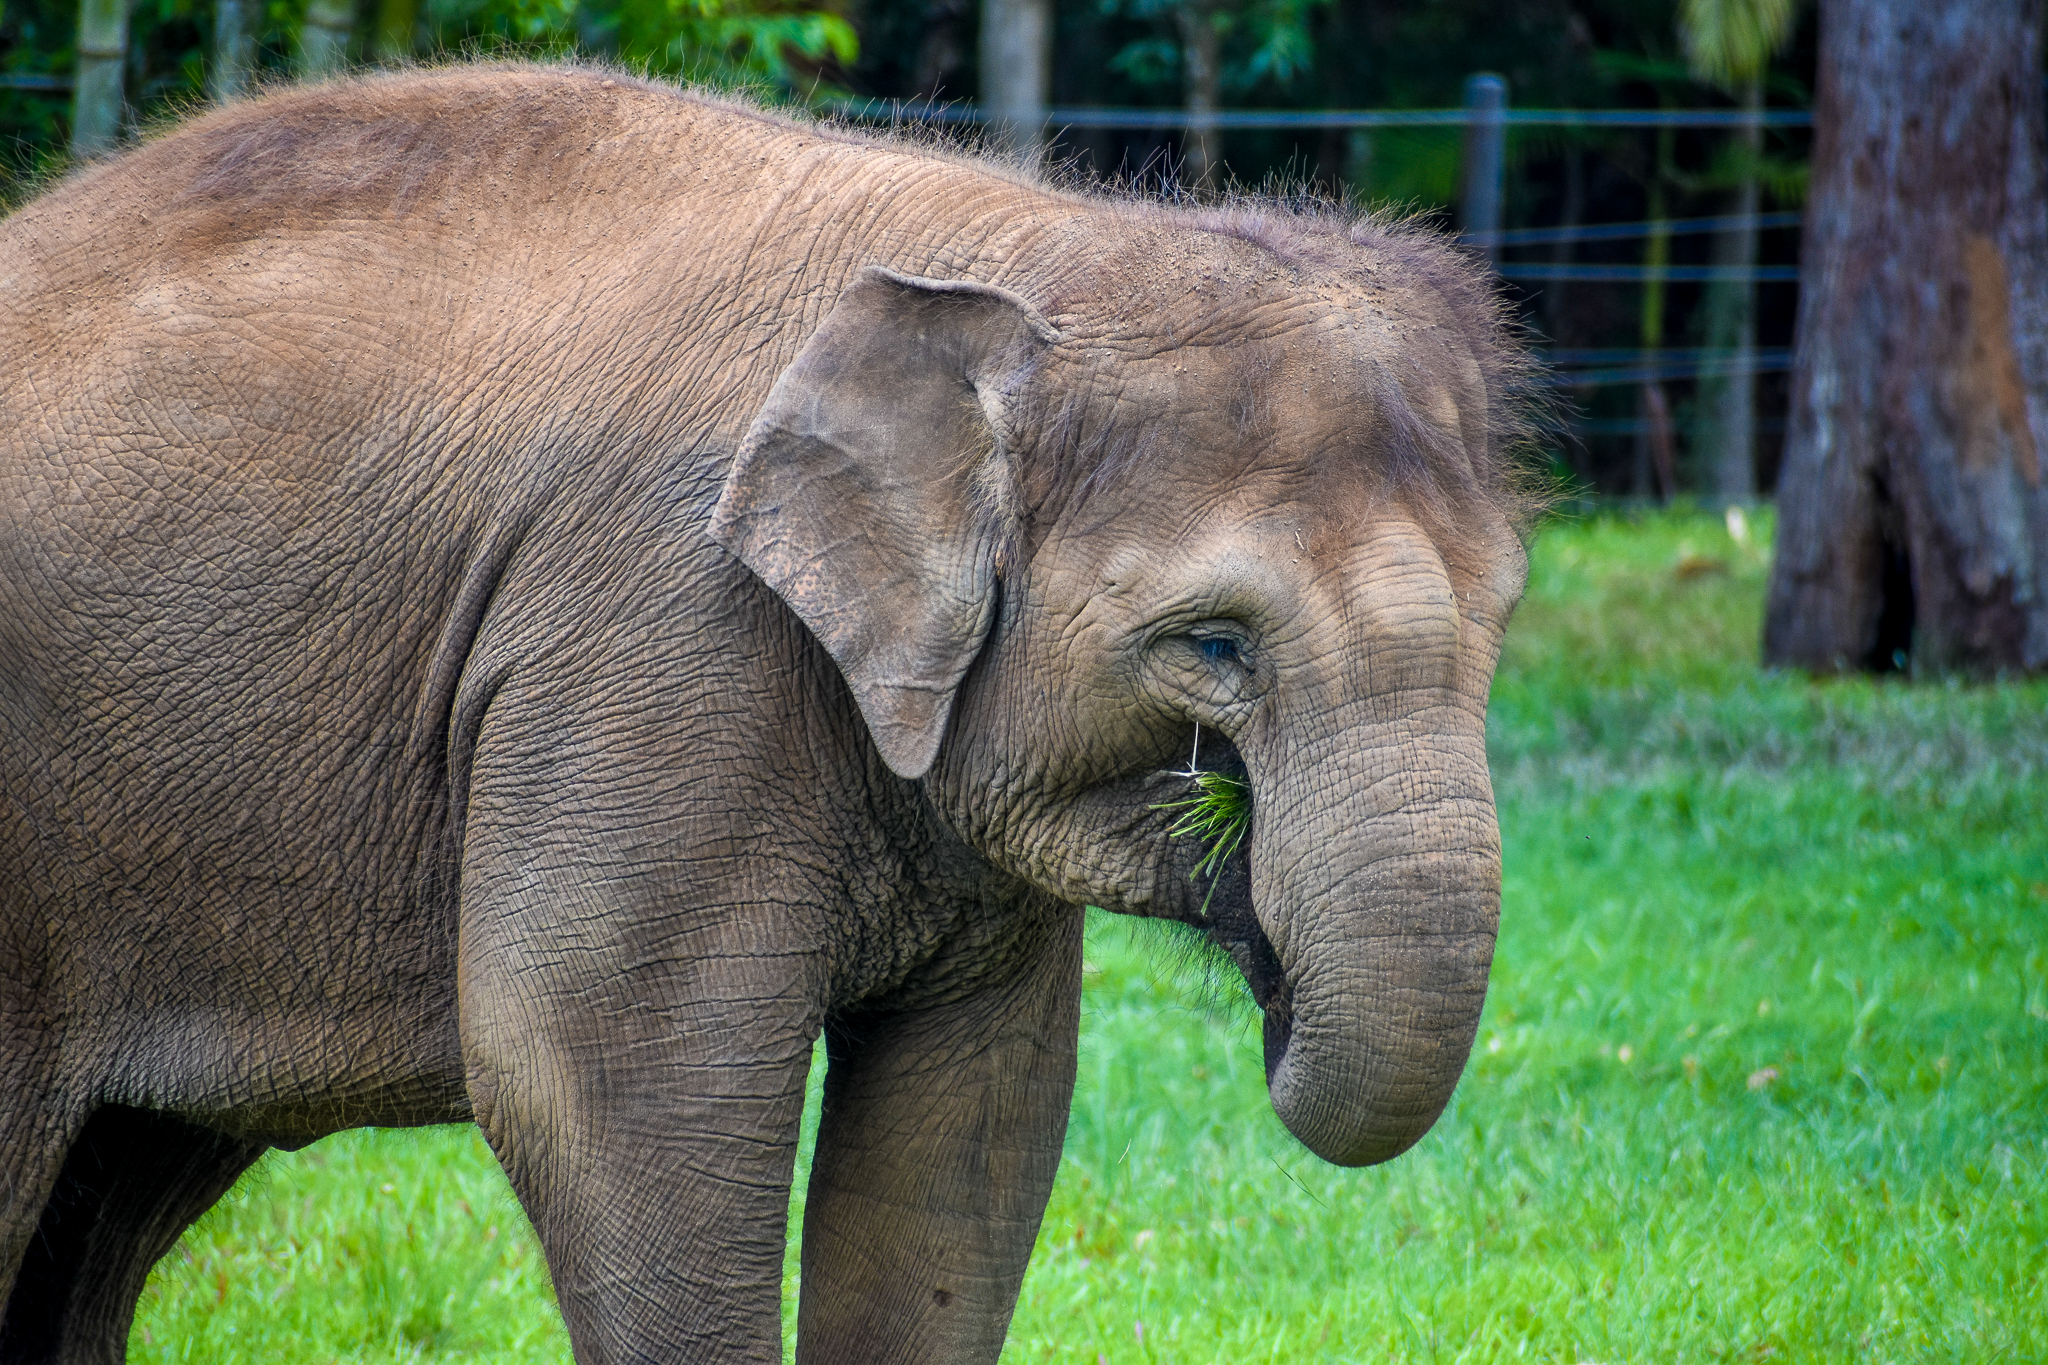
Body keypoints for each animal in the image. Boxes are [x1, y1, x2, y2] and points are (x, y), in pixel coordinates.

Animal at [0, 64, 1533, 1364]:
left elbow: (972, 1118)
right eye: (1211, 644)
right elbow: (596, 1068)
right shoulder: (655, 638)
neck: (1033, 246)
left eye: (1500, 623)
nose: (1268, 949)